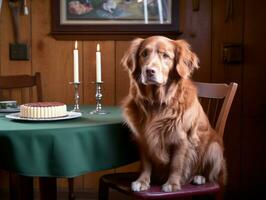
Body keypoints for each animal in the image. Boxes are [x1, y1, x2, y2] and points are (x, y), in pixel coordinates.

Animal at [121, 35, 225, 192]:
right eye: (144, 54)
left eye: (165, 56)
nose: (149, 71)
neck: (157, 102)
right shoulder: (143, 137)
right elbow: (146, 163)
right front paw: (142, 181)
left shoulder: (181, 138)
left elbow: (176, 164)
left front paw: (172, 183)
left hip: (214, 148)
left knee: (210, 174)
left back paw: (199, 177)